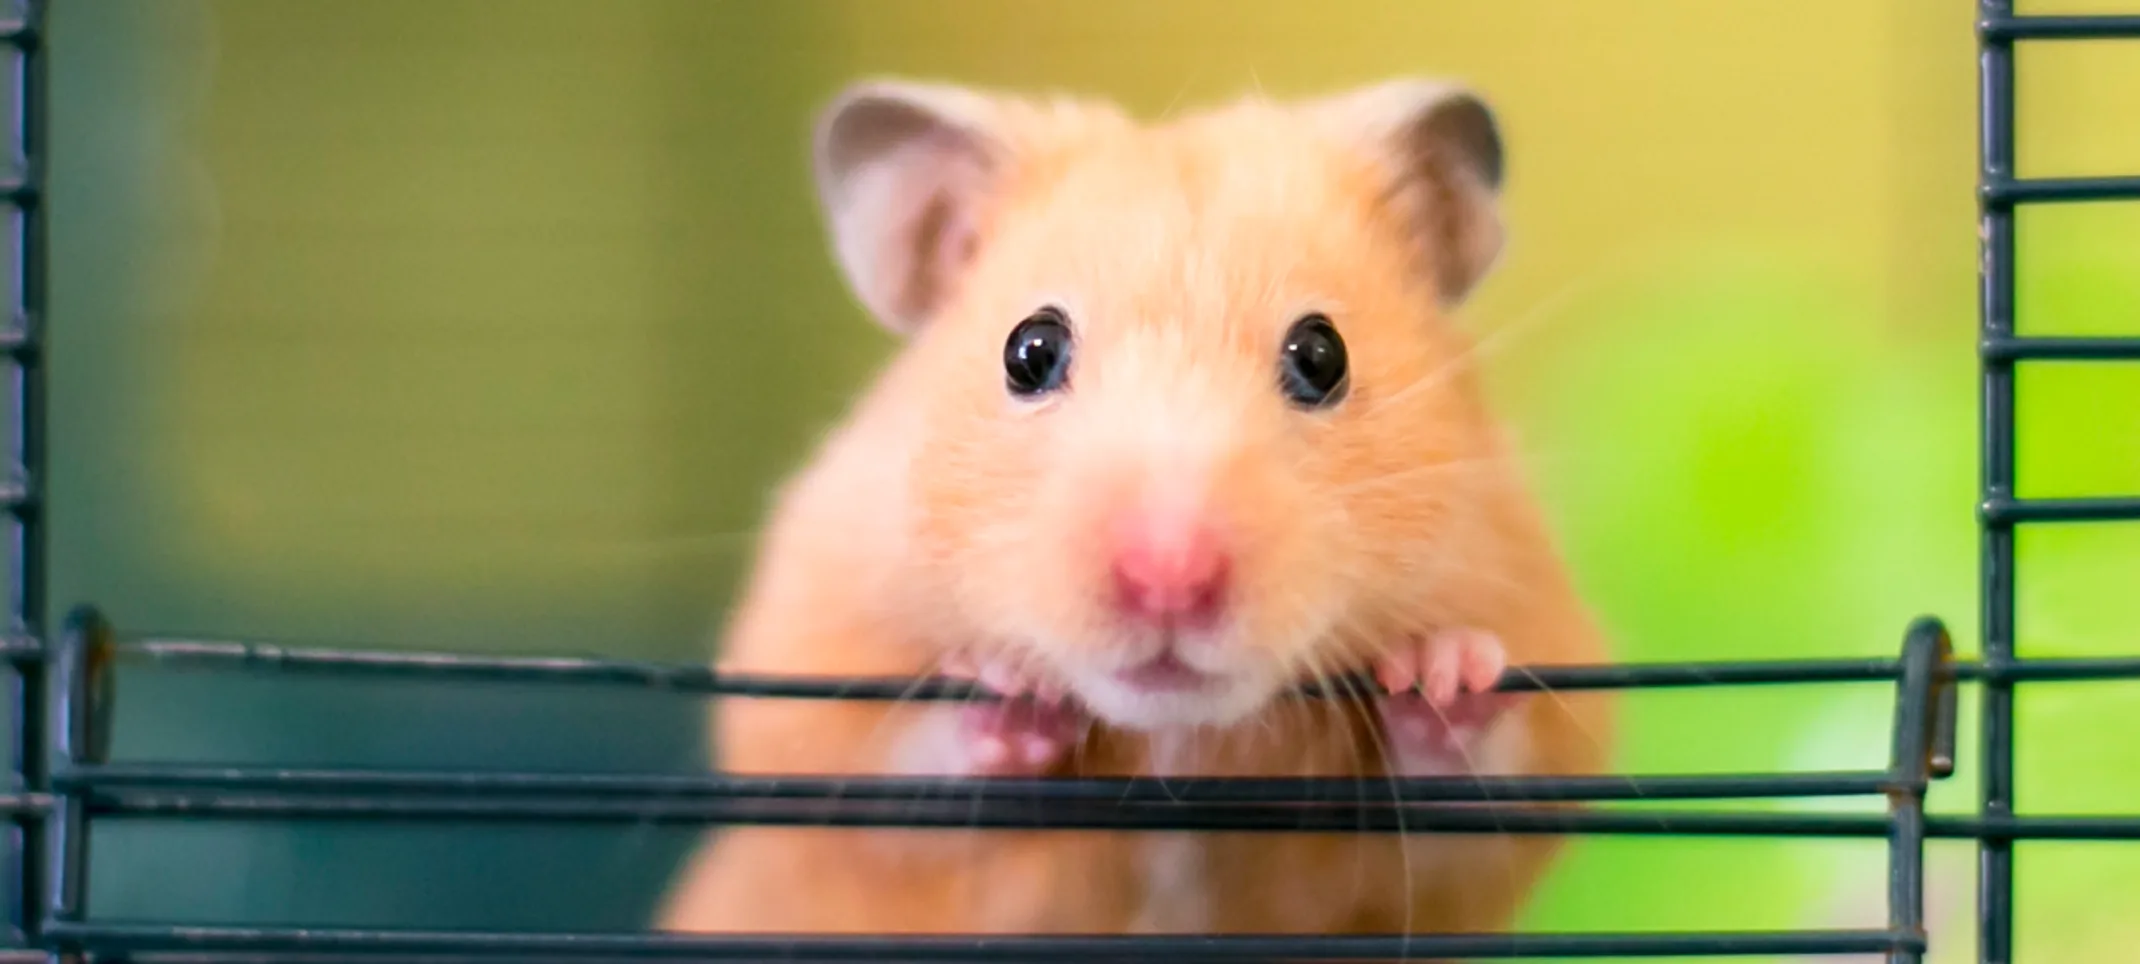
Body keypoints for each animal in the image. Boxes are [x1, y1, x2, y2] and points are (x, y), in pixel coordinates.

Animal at [659, 73, 1609, 942]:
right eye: (1030, 351)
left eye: (1322, 355)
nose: (1168, 580)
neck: (1172, 739)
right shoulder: (807, 684)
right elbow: (892, 768)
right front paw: (1011, 693)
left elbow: (1477, 786)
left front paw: (1444, 671)